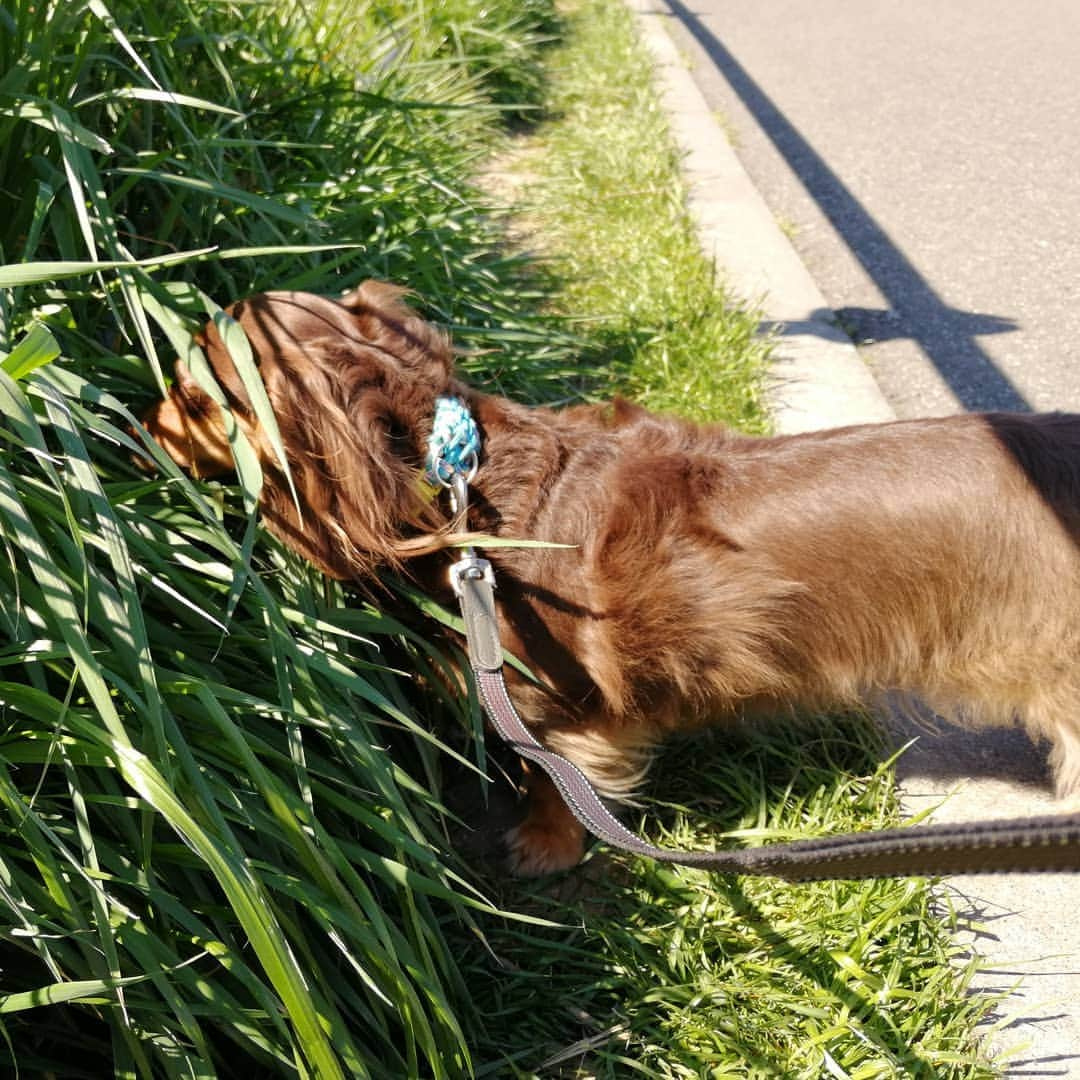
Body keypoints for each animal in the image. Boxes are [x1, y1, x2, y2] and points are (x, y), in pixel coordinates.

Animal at [139, 282, 1080, 872]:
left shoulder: (569, 710)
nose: (141, 422)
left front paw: (545, 847)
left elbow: (556, 782)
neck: (460, 488)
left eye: (192, 397)